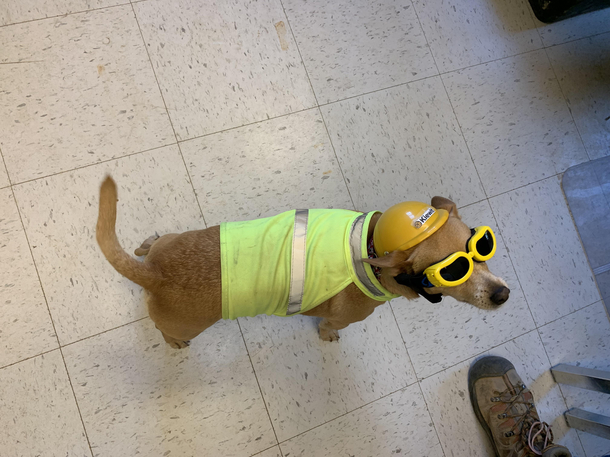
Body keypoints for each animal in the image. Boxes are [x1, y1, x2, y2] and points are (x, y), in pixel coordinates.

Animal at [96, 176, 508, 348]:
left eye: (481, 247)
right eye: (452, 271)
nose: (503, 294)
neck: (371, 244)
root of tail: (155, 275)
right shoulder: (340, 317)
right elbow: (328, 325)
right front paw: (327, 335)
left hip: (168, 242)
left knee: (150, 244)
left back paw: (147, 244)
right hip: (186, 326)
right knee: (166, 332)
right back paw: (173, 342)